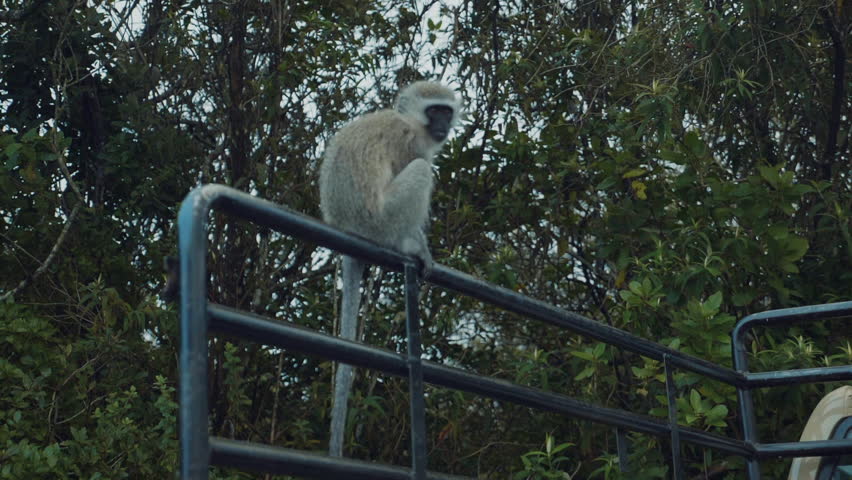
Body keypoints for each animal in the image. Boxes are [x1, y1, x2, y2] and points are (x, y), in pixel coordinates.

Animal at [318, 81, 461, 457]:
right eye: (434, 111)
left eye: (446, 111)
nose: (443, 126)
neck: (409, 121)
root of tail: (348, 227)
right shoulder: (409, 142)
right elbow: (416, 163)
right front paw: (421, 246)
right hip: (381, 223)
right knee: (422, 172)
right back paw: (408, 246)